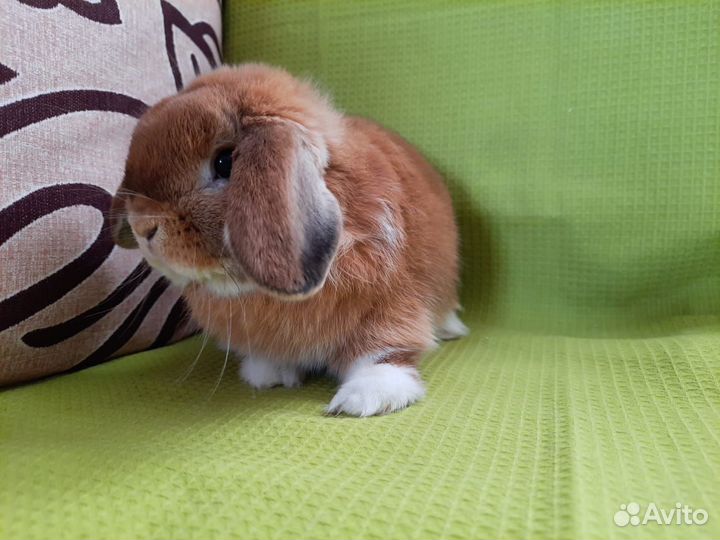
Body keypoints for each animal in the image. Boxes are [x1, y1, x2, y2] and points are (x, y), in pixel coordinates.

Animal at [110, 64, 467, 416]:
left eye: (225, 163)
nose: (143, 227)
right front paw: (269, 376)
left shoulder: (391, 308)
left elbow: (382, 354)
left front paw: (363, 400)